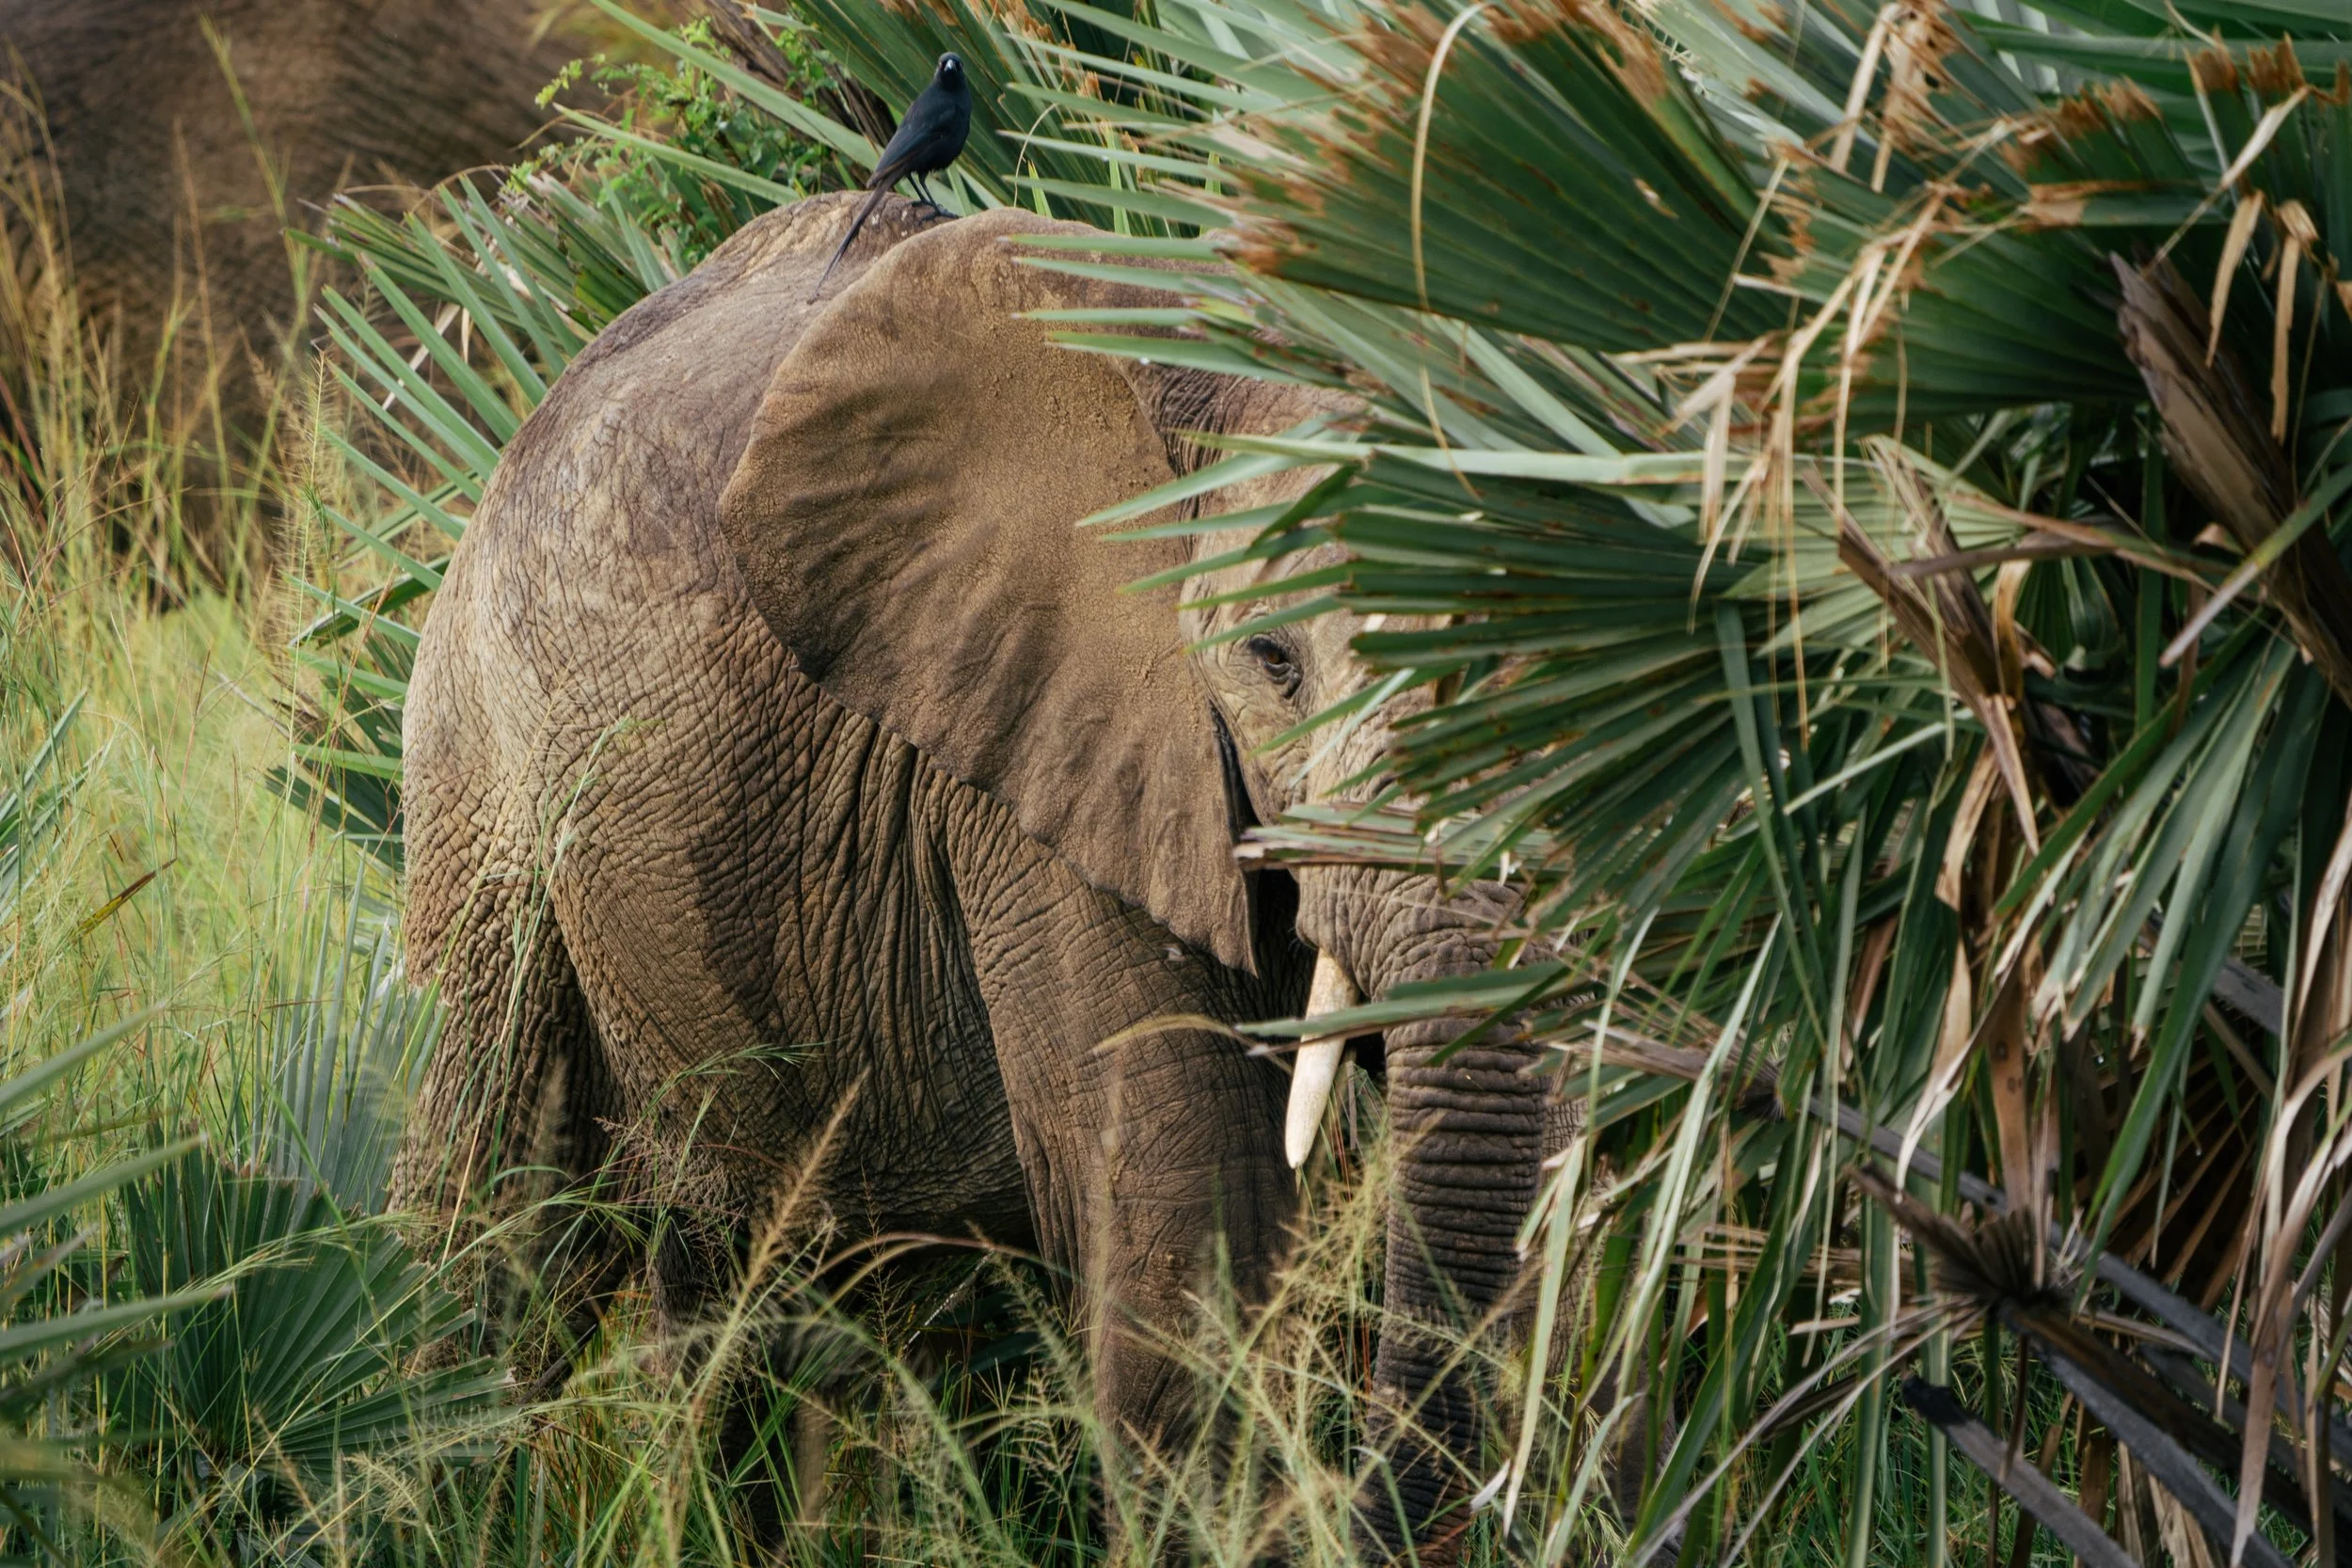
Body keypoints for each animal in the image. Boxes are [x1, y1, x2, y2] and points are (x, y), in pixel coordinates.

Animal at [393, 190, 1550, 1558]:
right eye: (1274, 661)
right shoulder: (1039, 774)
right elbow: (1184, 1232)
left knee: (742, 1302)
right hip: (478, 776)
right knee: (494, 1223)